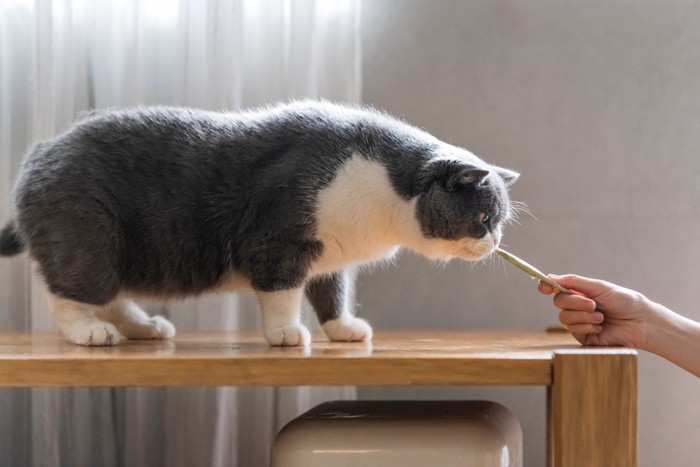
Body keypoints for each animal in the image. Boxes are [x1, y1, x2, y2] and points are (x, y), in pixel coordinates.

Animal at [0, 99, 516, 348]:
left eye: (499, 223)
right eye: (484, 218)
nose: (494, 242)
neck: (385, 193)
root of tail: (40, 152)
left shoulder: (332, 256)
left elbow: (332, 294)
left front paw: (343, 329)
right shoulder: (280, 242)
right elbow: (281, 293)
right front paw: (285, 334)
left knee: (110, 298)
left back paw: (145, 327)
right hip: (89, 237)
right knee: (71, 294)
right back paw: (89, 334)